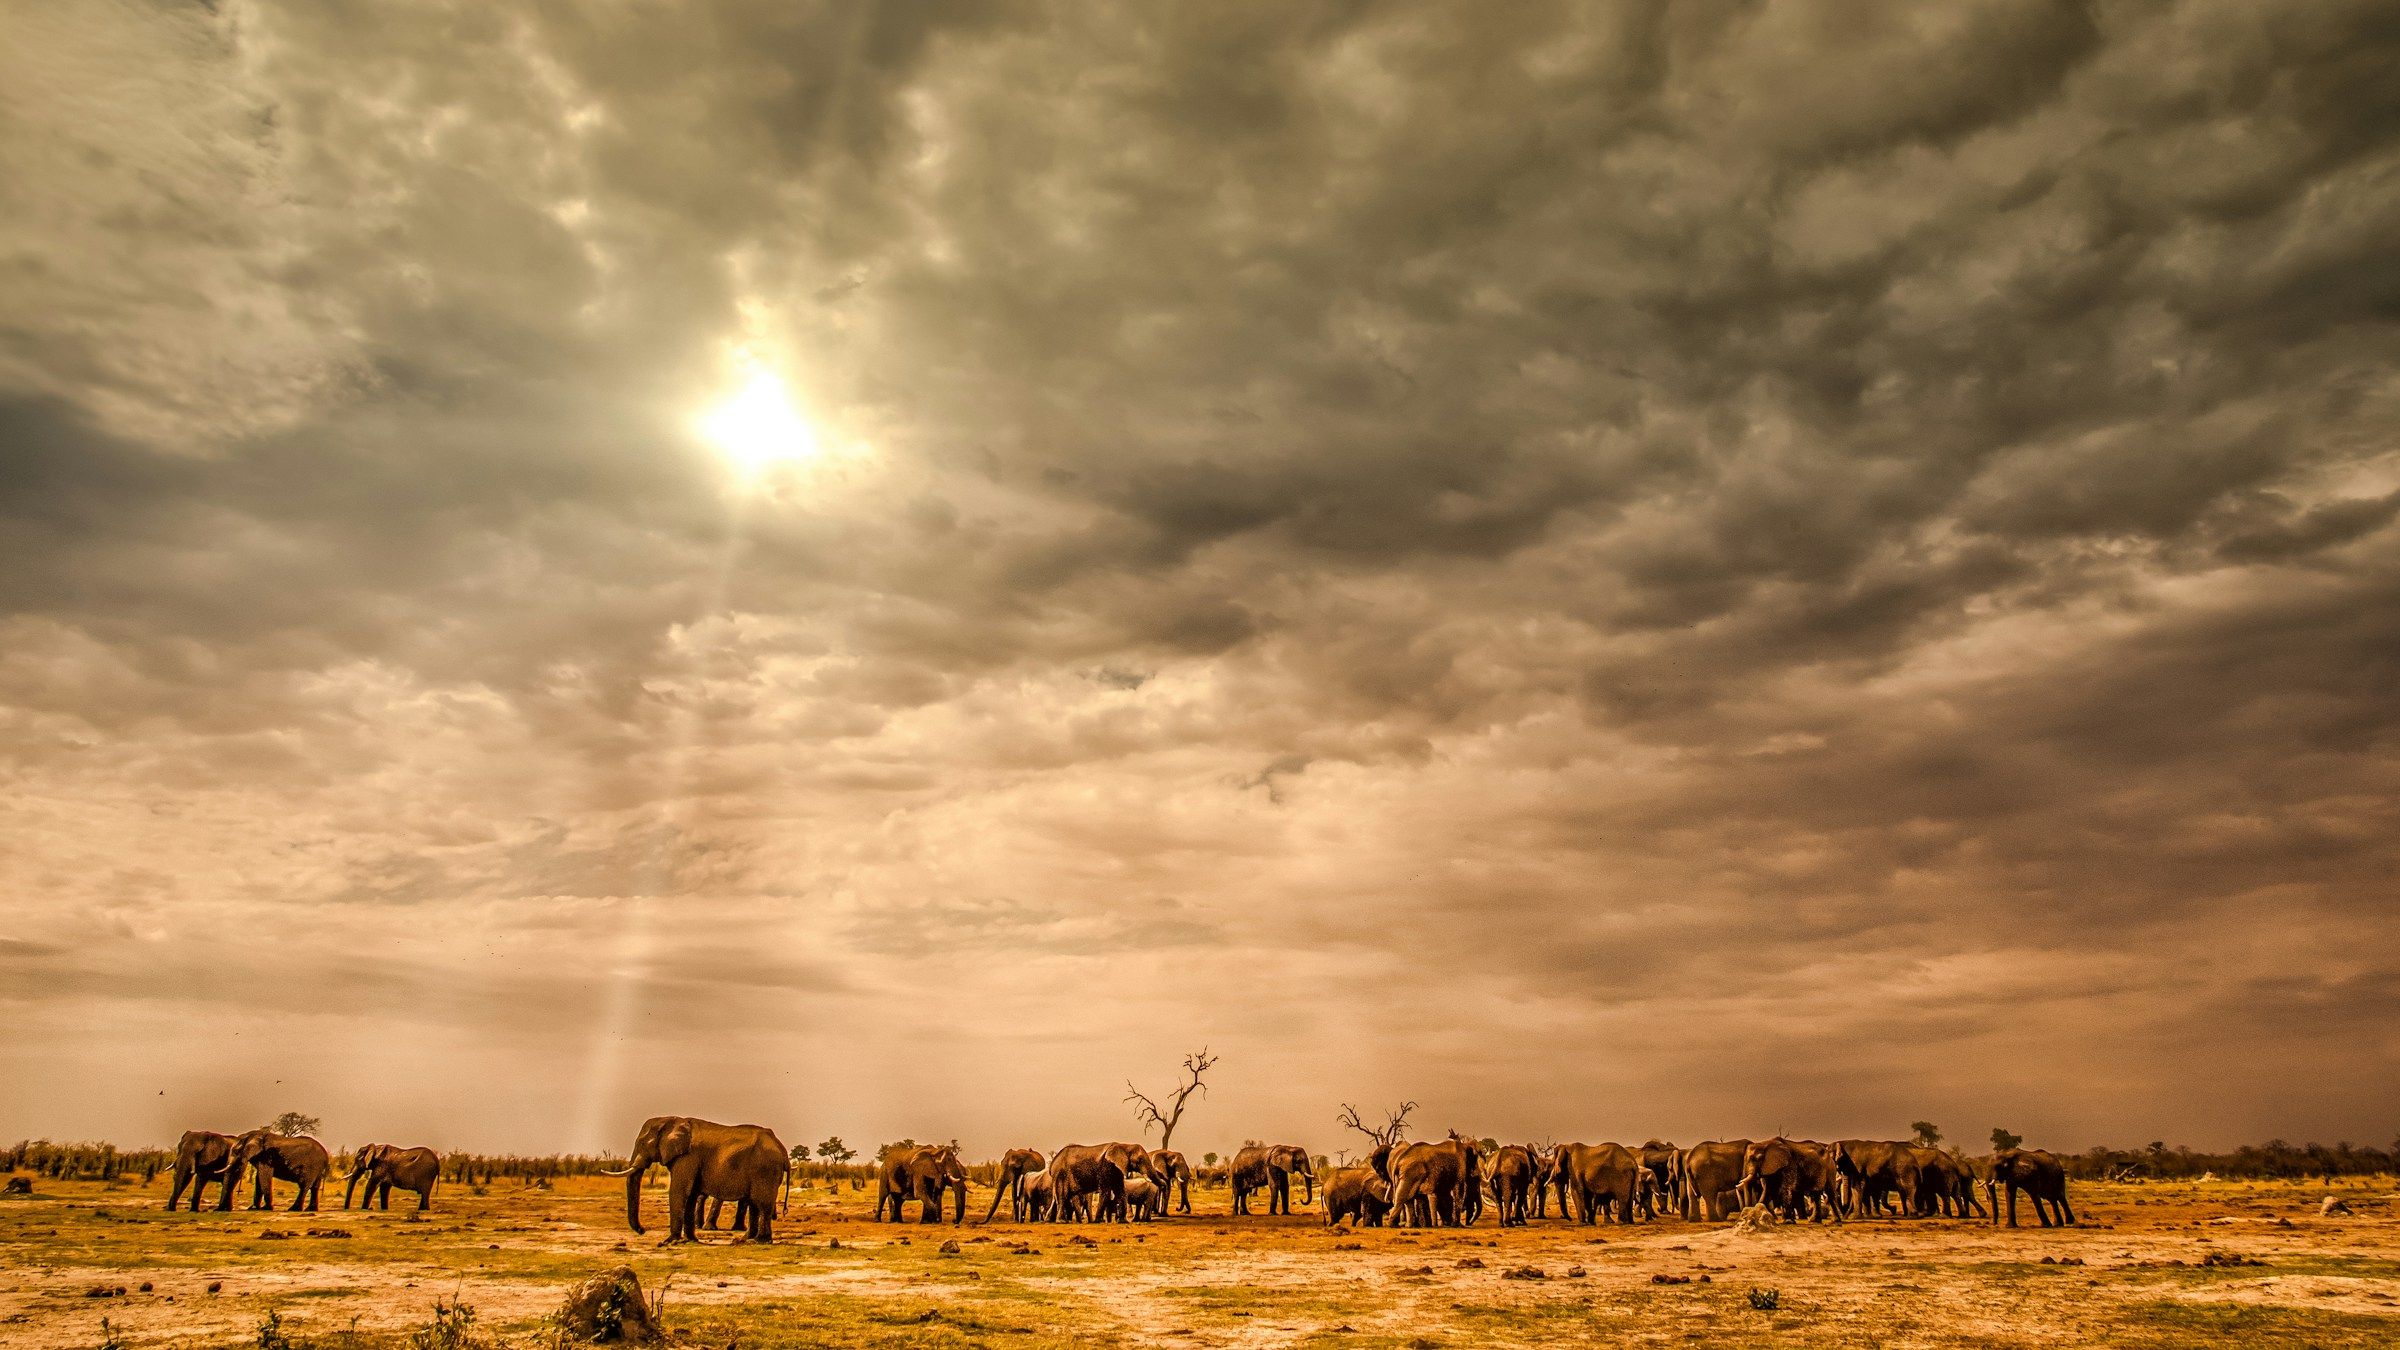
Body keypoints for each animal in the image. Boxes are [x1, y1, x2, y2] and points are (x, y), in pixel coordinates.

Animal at [609, 1114, 787, 1239]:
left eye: (643, 1143)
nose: (642, 1230)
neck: (673, 1120)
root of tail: (781, 1147)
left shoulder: (688, 1157)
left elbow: (679, 1191)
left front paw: (670, 1241)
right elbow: (691, 1195)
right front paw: (690, 1240)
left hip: (764, 1169)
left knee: (761, 1203)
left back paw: (758, 1240)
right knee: (755, 1203)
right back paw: (745, 1239)